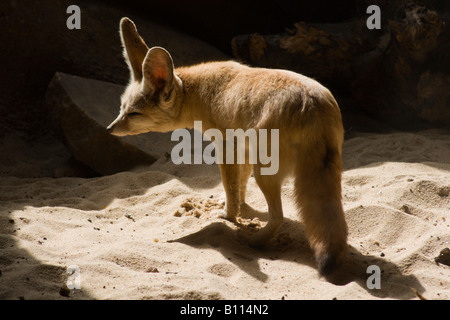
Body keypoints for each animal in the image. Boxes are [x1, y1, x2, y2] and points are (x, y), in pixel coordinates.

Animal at [108, 17, 348, 276]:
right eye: (121, 108)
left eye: (133, 114)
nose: (109, 129)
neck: (198, 93)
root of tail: (312, 105)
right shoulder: (243, 149)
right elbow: (239, 187)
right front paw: (241, 209)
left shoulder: (225, 148)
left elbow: (229, 186)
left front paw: (228, 216)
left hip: (265, 173)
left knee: (279, 217)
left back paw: (253, 241)